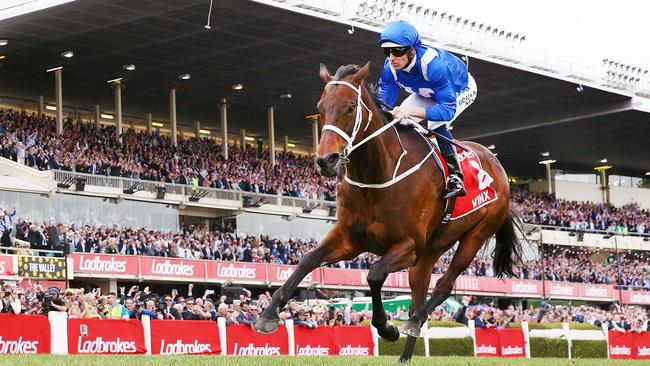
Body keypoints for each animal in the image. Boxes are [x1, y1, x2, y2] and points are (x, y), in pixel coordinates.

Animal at [253, 62, 520, 360]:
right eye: (320, 107)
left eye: (350, 107)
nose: (325, 160)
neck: (378, 174)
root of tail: (499, 167)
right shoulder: (350, 240)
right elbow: (307, 260)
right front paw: (268, 314)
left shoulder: (407, 245)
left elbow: (374, 274)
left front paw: (386, 328)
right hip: (431, 250)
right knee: (418, 296)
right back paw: (406, 353)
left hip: (474, 236)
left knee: (443, 286)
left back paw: (411, 322)